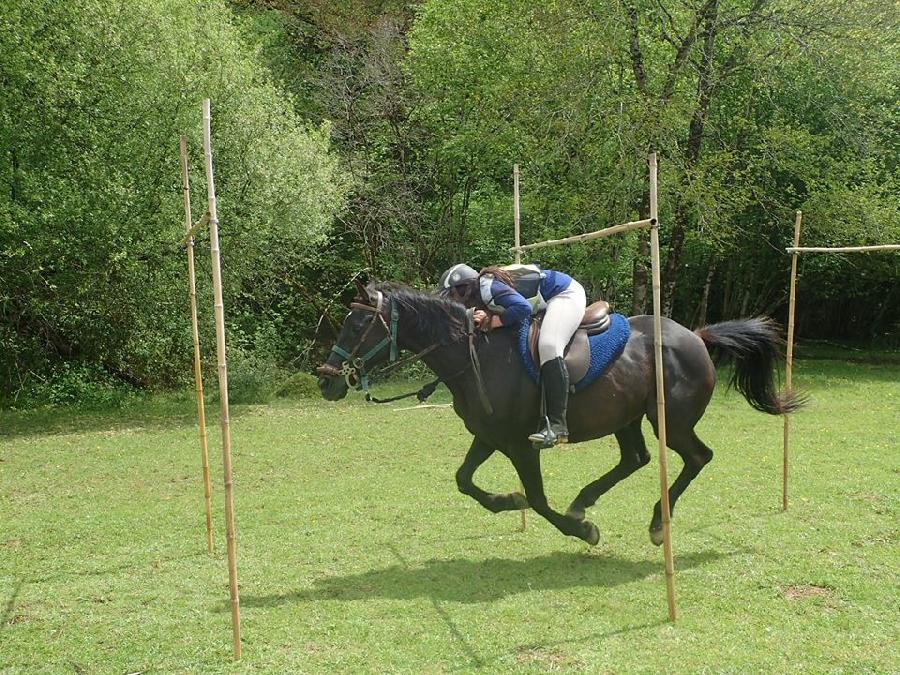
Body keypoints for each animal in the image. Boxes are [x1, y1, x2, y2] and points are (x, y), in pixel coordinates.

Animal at [316, 282, 800, 548]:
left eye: (357, 325)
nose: (326, 380)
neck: (474, 356)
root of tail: (696, 336)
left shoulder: (520, 446)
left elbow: (538, 499)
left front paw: (581, 531)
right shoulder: (489, 436)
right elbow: (465, 481)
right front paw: (507, 501)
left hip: (673, 423)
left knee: (697, 457)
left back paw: (656, 524)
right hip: (626, 417)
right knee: (636, 458)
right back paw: (585, 501)